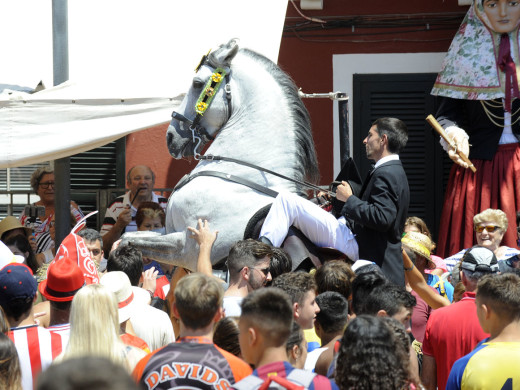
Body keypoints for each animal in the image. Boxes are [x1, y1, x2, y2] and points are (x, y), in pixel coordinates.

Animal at [126, 39, 320, 270]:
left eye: (197, 83)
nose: (171, 137)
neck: (239, 172)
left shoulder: (186, 248)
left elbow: (126, 241)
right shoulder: (168, 231)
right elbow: (129, 237)